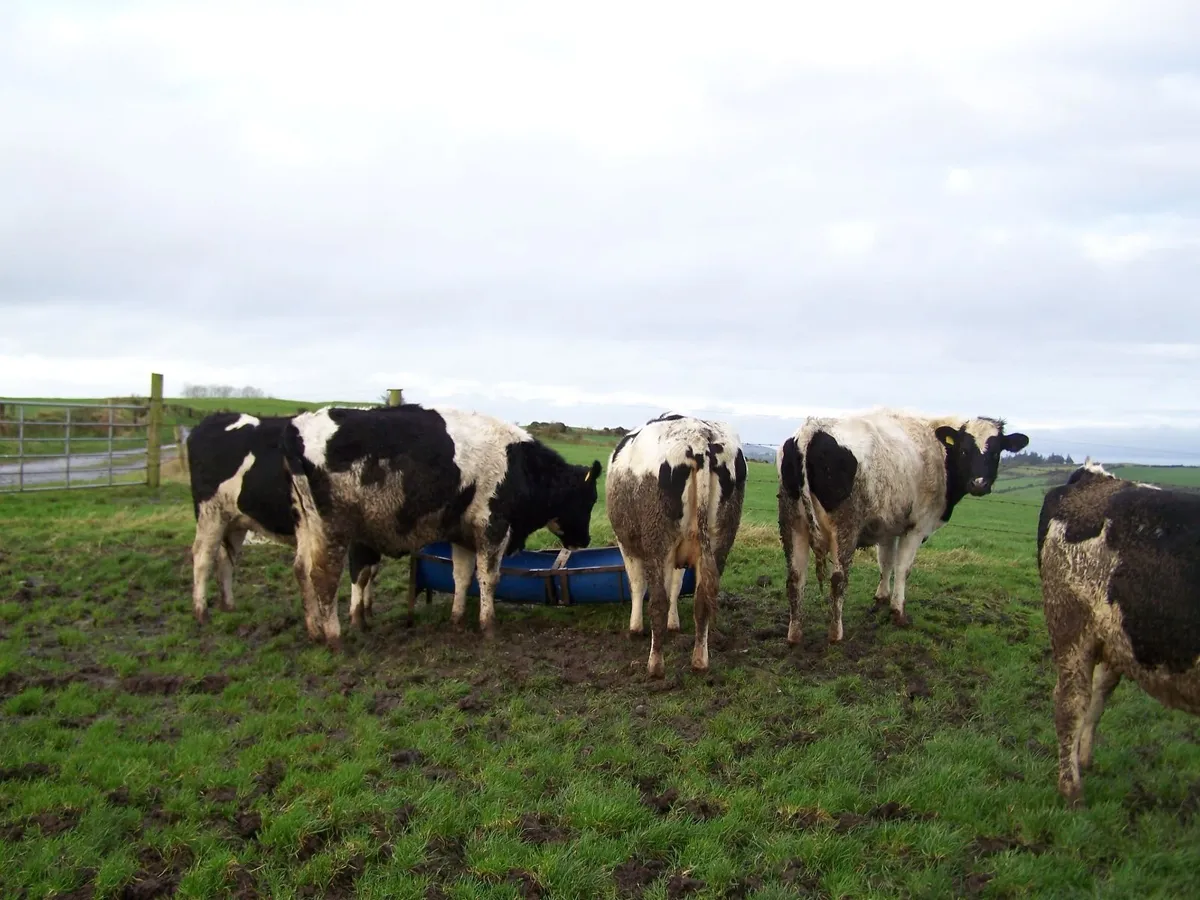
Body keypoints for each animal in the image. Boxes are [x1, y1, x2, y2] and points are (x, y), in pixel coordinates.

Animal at [186, 411, 385, 629]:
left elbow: (372, 570)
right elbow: (361, 573)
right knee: (202, 558)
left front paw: (368, 610)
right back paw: (201, 613)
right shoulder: (358, 538)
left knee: (225, 559)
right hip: (210, 515)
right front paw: (357, 619)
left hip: (234, 519)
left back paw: (229, 608)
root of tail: (213, 419)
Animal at [281, 403, 603, 650]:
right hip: (334, 531)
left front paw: (457, 619)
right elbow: (489, 577)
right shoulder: (492, 526)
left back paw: (318, 631)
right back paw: (335, 637)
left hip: (313, 531)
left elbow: (461, 576)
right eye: (590, 498)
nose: (584, 540)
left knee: (303, 570)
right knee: (323, 577)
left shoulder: (463, 534)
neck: (519, 465)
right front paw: (489, 626)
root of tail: (299, 432)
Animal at [606, 413, 747, 677]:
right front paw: (674, 624)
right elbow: (676, 586)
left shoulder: (626, 544)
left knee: (658, 602)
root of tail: (699, 438)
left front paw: (635, 627)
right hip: (719, 542)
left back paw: (655, 665)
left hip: (658, 540)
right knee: (702, 601)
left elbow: (637, 585)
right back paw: (700, 661)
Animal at [777, 408, 1029, 644]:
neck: (939, 452)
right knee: (838, 579)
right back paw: (836, 634)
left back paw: (794, 634)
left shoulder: (887, 526)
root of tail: (813, 428)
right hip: (844, 527)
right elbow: (902, 568)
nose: (979, 483)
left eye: (995, 452)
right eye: (965, 450)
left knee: (795, 577)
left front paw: (881, 598)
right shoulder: (916, 528)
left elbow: (886, 562)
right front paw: (897, 611)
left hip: (793, 524)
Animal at [1037, 459, 1200, 807]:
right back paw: (1072, 790)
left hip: (1112, 636)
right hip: (1070, 622)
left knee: (1098, 694)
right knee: (1071, 702)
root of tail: (1093, 477)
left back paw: (1085, 761)